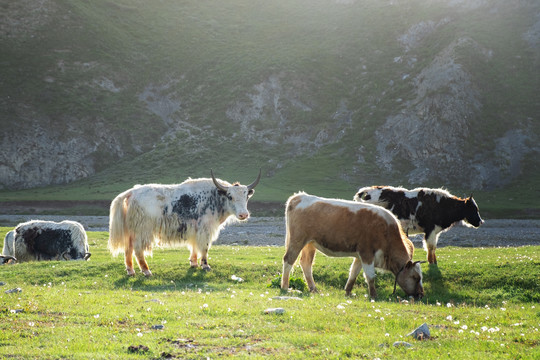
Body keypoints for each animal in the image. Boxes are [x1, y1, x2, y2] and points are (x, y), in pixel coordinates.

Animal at [108, 169, 262, 276]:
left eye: (246, 196)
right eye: (230, 196)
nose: (243, 214)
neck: (215, 196)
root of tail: (130, 193)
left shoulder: (194, 229)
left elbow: (194, 246)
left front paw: (193, 263)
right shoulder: (205, 228)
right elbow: (204, 247)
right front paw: (205, 266)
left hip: (131, 230)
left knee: (128, 248)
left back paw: (131, 271)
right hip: (143, 229)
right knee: (138, 249)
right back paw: (147, 271)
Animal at [280, 193, 424, 300]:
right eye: (416, 277)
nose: (421, 294)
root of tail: (299, 196)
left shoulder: (360, 255)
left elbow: (353, 273)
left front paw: (348, 292)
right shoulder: (366, 253)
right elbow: (370, 276)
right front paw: (374, 295)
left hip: (310, 244)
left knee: (306, 263)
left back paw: (313, 289)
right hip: (297, 240)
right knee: (288, 260)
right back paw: (285, 287)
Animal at [354, 186, 486, 264]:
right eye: (473, 209)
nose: (480, 222)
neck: (442, 205)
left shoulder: (435, 231)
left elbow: (433, 247)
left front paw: (434, 261)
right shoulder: (430, 230)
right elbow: (430, 246)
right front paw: (431, 262)